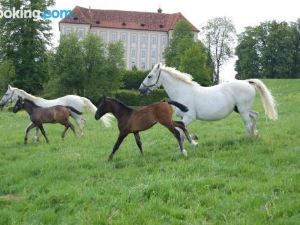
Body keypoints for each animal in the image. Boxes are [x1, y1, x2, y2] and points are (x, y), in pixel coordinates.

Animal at [139, 63, 278, 144]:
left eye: (150, 76)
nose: (141, 90)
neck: (182, 91)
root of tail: (247, 82)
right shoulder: (183, 118)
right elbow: (182, 130)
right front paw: (192, 140)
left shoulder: (189, 117)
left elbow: (180, 131)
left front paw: (189, 143)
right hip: (240, 109)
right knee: (255, 116)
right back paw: (255, 135)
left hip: (243, 110)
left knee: (248, 124)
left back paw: (249, 139)